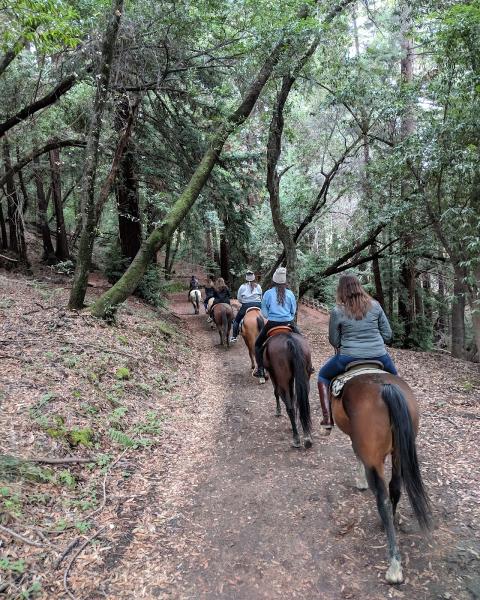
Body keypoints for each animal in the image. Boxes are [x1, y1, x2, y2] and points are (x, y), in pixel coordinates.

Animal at [332, 372, 434, 584]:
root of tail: (386, 387)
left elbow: (356, 454)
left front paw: (360, 481)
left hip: (374, 459)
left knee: (383, 498)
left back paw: (394, 566)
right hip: (399, 453)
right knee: (395, 487)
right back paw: (390, 523)